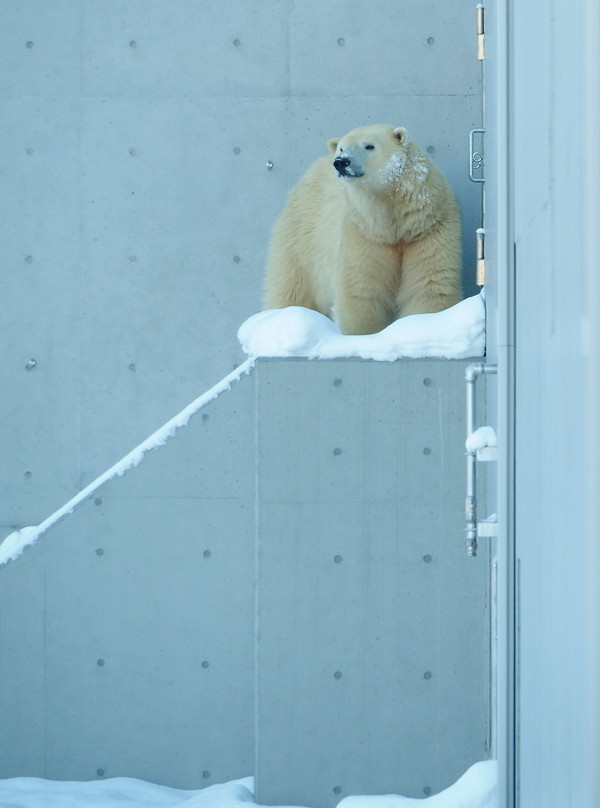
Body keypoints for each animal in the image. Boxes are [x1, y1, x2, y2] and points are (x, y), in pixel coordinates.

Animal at [262, 124, 464, 332]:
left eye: (369, 146)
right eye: (341, 148)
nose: (341, 162)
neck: (393, 226)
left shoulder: (427, 230)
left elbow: (430, 285)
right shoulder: (363, 232)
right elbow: (362, 291)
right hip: (301, 240)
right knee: (290, 287)